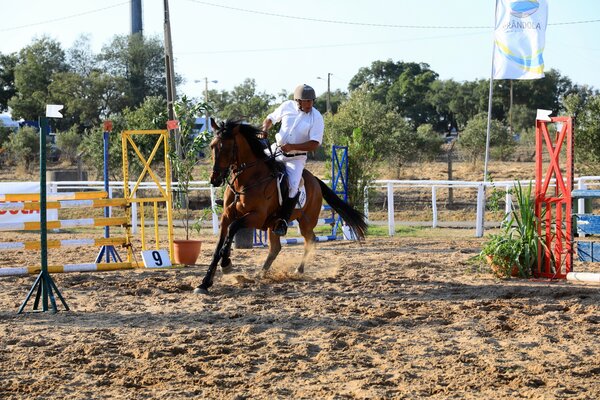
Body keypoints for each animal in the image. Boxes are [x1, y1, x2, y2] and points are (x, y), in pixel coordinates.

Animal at [195, 119, 368, 294]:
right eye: (212, 146)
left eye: (227, 147)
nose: (214, 179)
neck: (246, 181)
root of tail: (315, 179)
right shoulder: (227, 216)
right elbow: (218, 246)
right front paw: (204, 283)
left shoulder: (256, 217)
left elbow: (232, 229)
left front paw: (226, 264)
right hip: (274, 224)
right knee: (276, 248)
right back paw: (261, 273)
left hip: (305, 222)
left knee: (310, 240)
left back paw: (298, 270)